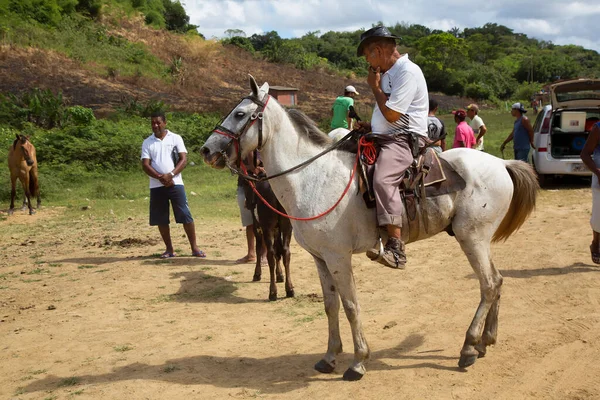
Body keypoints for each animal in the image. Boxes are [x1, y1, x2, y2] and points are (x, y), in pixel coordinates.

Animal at [203, 76, 540, 382]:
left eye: (240, 114)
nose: (207, 150)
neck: (311, 177)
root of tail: (502, 164)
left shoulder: (338, 257)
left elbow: (351, 305)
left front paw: (358, 362)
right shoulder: (320, 258)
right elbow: (330, 306)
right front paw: (329, 357)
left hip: (472, 238)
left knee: (488, 285)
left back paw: (469, 347)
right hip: (478, 239)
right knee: (497, 280)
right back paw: (485, 341)